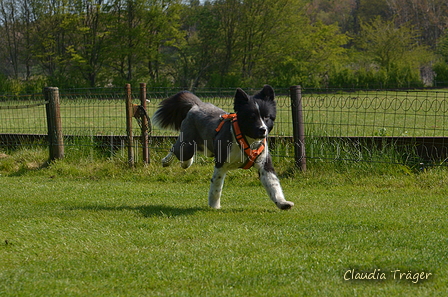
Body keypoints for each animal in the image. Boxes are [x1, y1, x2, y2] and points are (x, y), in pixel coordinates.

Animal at [152, 85, 296, 210]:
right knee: (177, 149)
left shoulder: (264, 163)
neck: (247, 140)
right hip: (187, 145)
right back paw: (169, 161)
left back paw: (187, 162)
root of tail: (196, 105)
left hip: (206, 147)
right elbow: (216, 186)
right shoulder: (221, 163)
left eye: (267, 117)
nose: (262, 129)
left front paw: (282, 203)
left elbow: (273, 184)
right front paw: (214, 205)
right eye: (251, 117)